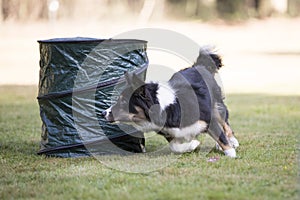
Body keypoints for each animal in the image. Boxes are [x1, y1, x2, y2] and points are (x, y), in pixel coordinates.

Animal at [103, 48, 239, 158]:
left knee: (225, 124)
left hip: (217, 105)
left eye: (123, 101)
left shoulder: (207, 117)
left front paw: (230, 153)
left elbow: (220, 135)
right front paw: (193, 144)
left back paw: (232, 141)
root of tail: (198, 65)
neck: (166, 108)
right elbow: (176, 147)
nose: (103, 113)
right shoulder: (169, 132)